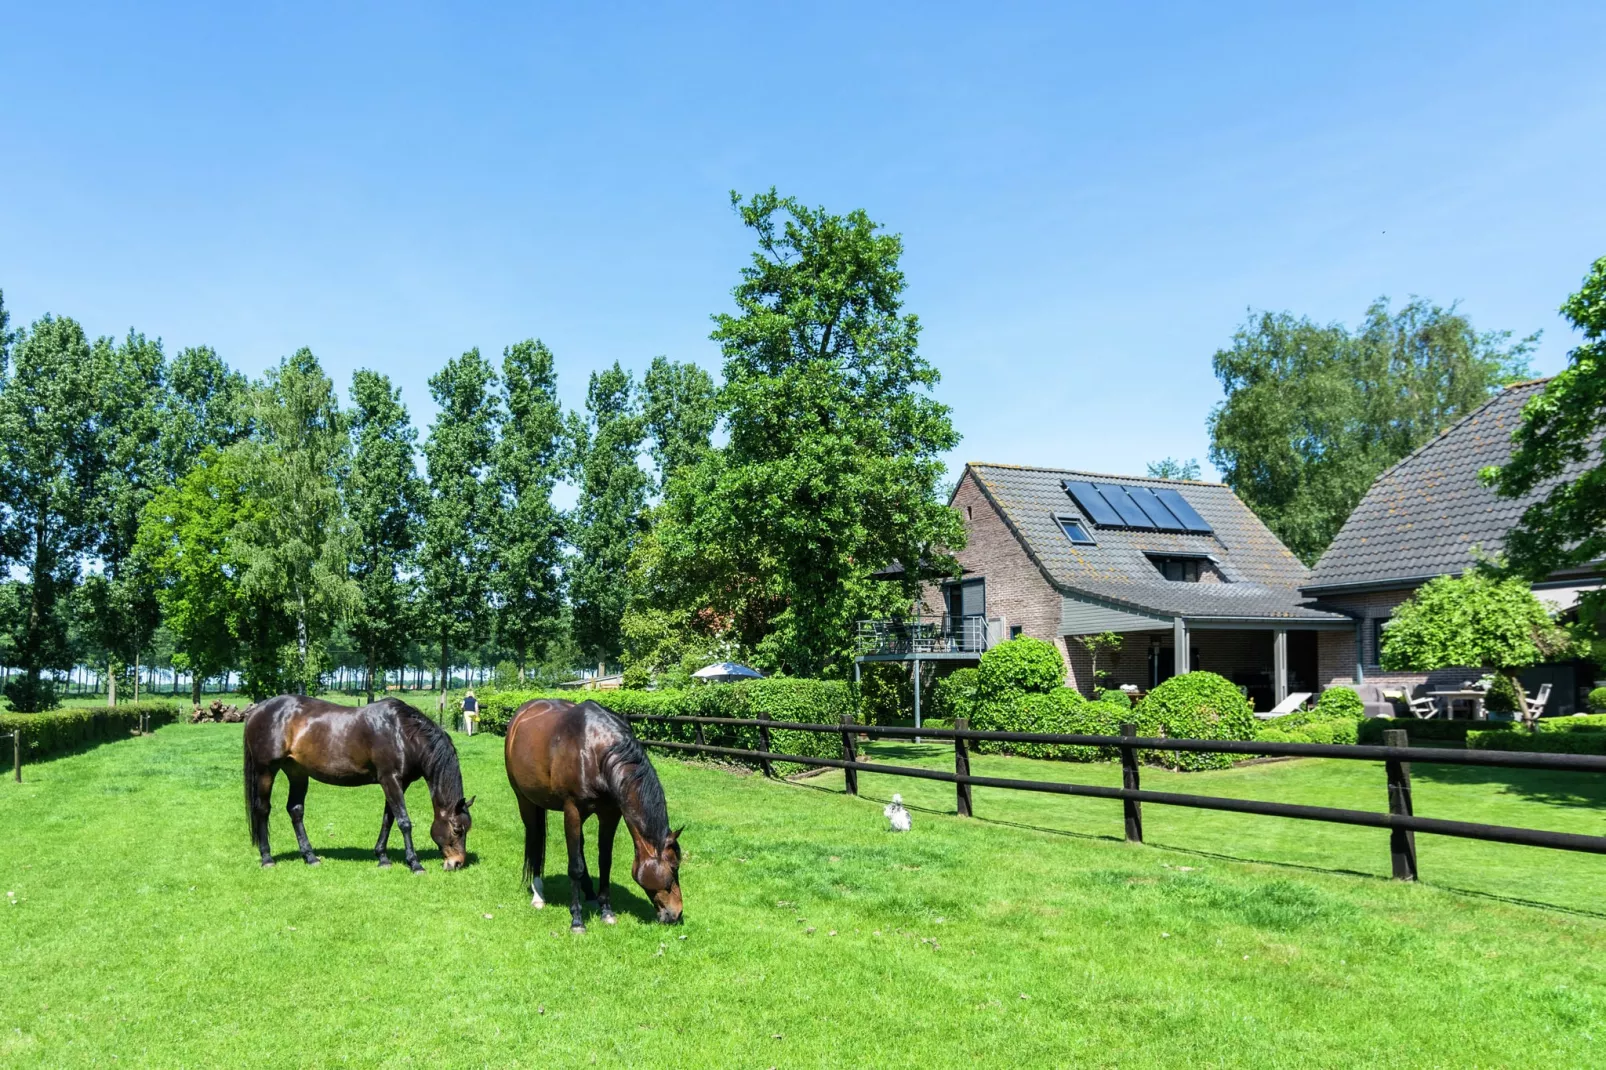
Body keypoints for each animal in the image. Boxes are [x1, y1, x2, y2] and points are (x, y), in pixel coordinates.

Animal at [237, 697, 475, 873]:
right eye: (456, 829)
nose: (457, 863)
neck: (403, 733)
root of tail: (257, 710)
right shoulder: (390, 779)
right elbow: (404, 822)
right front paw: (414, 863)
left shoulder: (399, 783)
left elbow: (388, 819)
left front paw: (382, 857)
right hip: (266, 771)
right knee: (262, 809)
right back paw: (267, 858)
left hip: (297, 772)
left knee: (295, 810)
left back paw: (310, 857)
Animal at [501, 697, 677, 931]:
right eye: (674, 868)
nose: (676, 913)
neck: (596, 753)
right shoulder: (572, 811)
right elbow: (574, 866)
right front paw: (577, 920)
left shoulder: (610, 814)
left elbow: (605, 861)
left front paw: (606, 911)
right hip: (526, 801)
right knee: (536, 839)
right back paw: (538, 894)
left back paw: (590, 893)